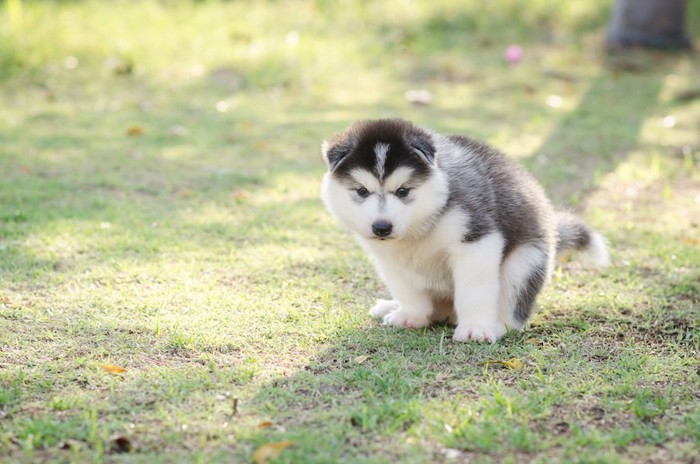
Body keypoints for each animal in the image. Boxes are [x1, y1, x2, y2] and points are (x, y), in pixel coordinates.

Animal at [320, 119, 608, 342]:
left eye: (403, 191)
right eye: (361, 191)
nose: (382, 227)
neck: (420, 226)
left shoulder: (477, 241)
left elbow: (474, 292)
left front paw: (475, 329)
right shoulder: (389, 259)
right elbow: (406, 289)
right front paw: (411, 315)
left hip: (525, 262)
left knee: (512, 313)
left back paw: (496, 326)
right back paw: (392, 306)